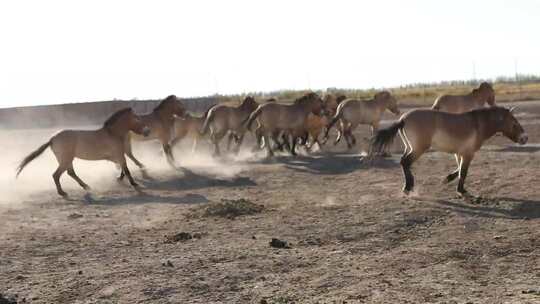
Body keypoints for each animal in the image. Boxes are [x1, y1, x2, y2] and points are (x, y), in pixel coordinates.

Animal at [16, 107, 150, 197]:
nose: (147, 131)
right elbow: (126, 169)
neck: (112, 134)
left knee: (70, 173)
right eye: (137, 118)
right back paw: (63, 192)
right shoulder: (119, 155)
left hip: (67, 160)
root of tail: (53, 138)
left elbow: (122, 167)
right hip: (65, 160)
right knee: (56, 175)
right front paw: (134, 183)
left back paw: (86, 186)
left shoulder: (117, 156)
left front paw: (120, 178)